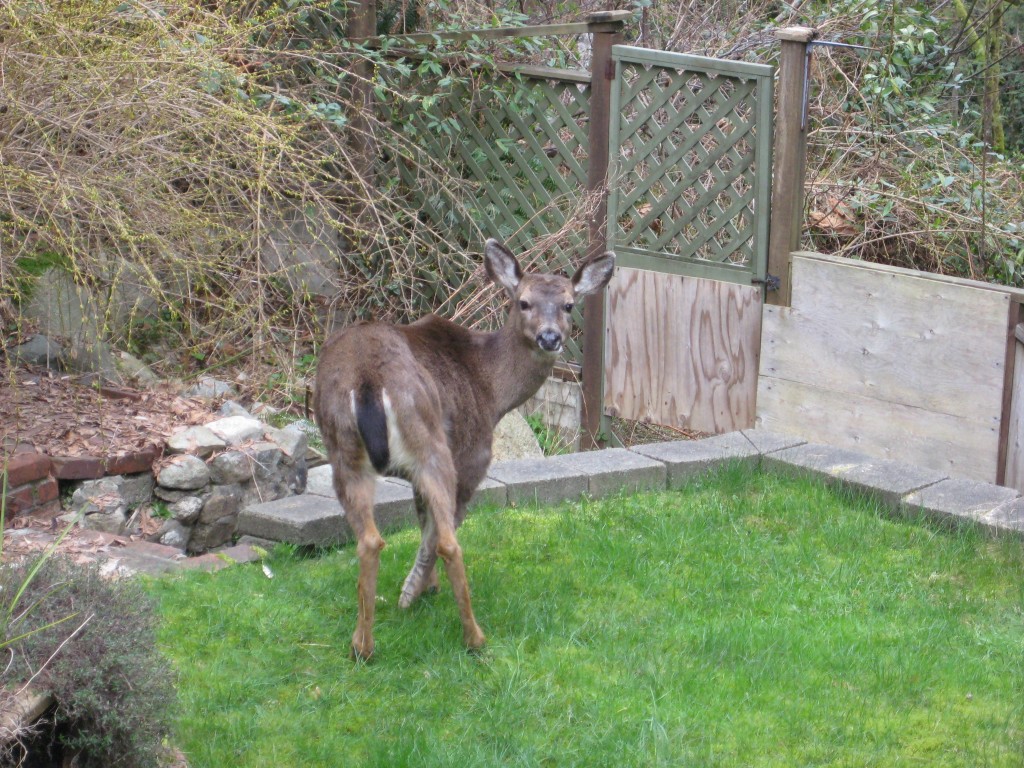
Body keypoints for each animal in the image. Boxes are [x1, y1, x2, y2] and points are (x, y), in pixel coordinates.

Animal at [313, 238, 615, 659]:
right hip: (432, 445)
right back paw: (475, 637)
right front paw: (414, 593)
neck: (492, 389)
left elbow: (421, 521)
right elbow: (435, 533)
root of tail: (368, 380)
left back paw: (362, 645)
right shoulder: (472, 456)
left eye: (569, 304)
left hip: (342, 449)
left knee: (369, 540)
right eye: (523, 302)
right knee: (449, 543)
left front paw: (423, 589)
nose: (550, 337)